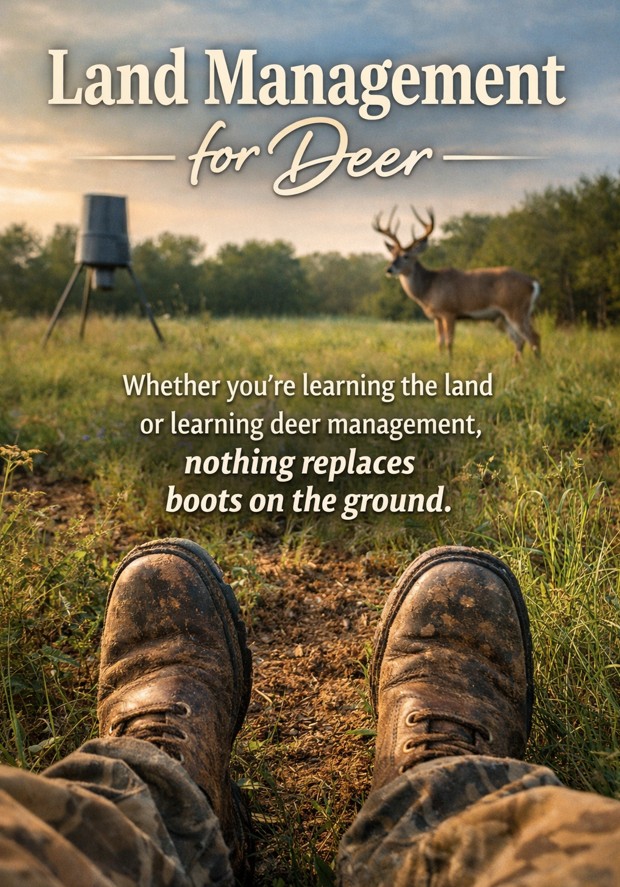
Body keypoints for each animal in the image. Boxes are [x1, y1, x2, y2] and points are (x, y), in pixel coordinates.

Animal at [373, 206, 541, 359]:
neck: (428, 288)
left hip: (516, 309)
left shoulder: (449, 312)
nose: (389, 269)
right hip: (503, 316)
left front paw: (449, 362)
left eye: (406, 256)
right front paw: (440, 360)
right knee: (520, 341)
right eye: (392, 254)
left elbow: (449, 341)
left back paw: (536, 367)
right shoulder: (437, 317)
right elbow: (439, 342)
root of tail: (533, 283)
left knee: (534, 337)